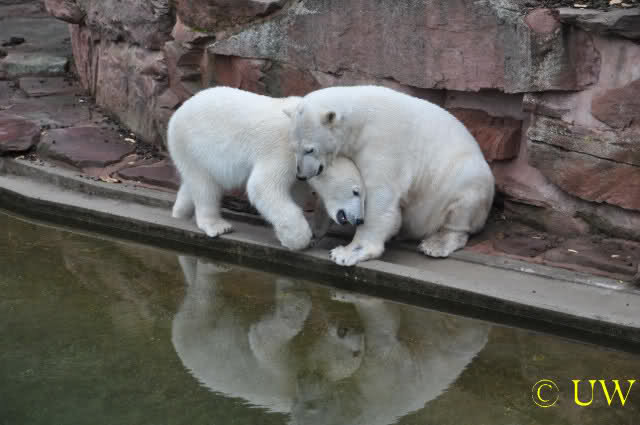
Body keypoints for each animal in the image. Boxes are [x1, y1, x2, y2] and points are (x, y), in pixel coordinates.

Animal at [167, 86, 365, 251]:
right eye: (355, 192)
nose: (359, 220)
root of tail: (178, 112)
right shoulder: (283, 152)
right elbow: (263, 186)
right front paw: (300, 239)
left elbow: (295, 193)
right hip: (194, 143)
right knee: (205, 185)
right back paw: (217, 225)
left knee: (192, 182)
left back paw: (179, 213)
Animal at [285, 85, 495, 265]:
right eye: (294, 148)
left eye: (310, 149)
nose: (301, 174)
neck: (360, 121)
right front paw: (313, 232)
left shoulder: (383, 143)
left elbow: (380, 195)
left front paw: (347, 252)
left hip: (462, 177)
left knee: (462, 205)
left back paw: (436, 244)